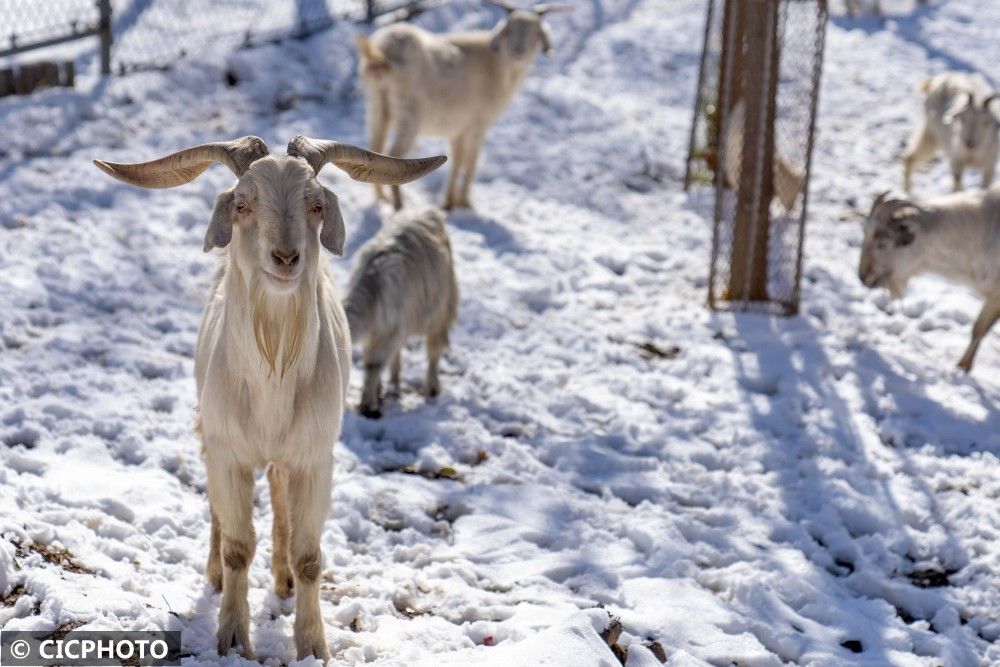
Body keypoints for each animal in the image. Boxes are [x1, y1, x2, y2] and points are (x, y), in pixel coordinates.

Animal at [342, 206, 456, 420]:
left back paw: (431, 389)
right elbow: (375, 360)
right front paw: (375, 397)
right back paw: (394, 385)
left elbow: (373, 364)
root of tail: (427, 210)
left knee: (434, 349)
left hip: (441, 307)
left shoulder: (388, 329)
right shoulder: (382, 331)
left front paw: (369, 407)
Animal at [358, 0, 572, 209]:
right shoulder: (478, 124)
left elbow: (457, 160)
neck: (496, 64)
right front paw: (465, 203)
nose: (519, 51)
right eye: (509, 29)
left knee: (376, 148)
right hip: (409, 114)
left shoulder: (458, 128)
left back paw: (382, 198)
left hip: (377, 106)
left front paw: (450, 201)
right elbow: (470, 161)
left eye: (536, 32)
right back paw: (399, 205)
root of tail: (381, 53)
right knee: (394, 155)